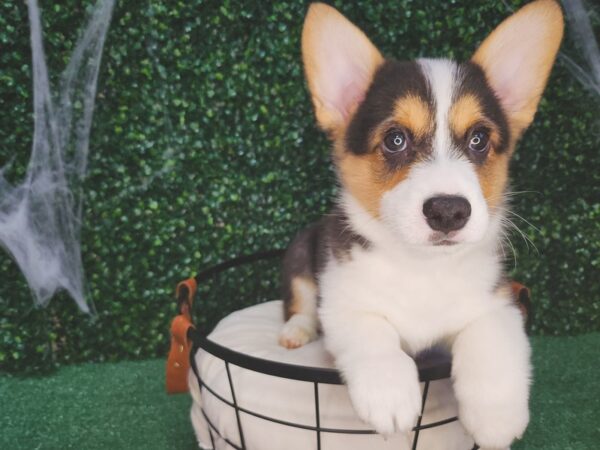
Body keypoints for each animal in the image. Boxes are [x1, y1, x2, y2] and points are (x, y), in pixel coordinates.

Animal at [278, 1, 564, 448]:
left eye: (479, 139)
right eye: (395, 139)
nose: (448, 211)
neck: (423, 266)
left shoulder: (498, 302)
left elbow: (493, 342)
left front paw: (497, 420)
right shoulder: (344, 301)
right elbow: (372, 332)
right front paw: (390, 395)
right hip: (300, 252)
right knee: (300, 302)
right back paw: (297, 331)